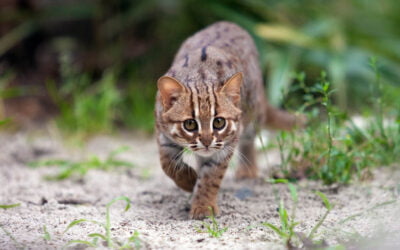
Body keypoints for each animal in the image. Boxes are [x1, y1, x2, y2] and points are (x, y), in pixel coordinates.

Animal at [155, 22, 302, 220]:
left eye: (219, 122)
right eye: (190, 124)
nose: (207, 142)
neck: (201, 78)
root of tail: (229, 23)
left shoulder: (225, 145)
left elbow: (211, 178)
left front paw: (203, 206)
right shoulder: (163, 134)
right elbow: (167, 164)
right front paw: (189, 181)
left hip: (252, 113)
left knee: (249, 140)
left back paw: (247, 170)